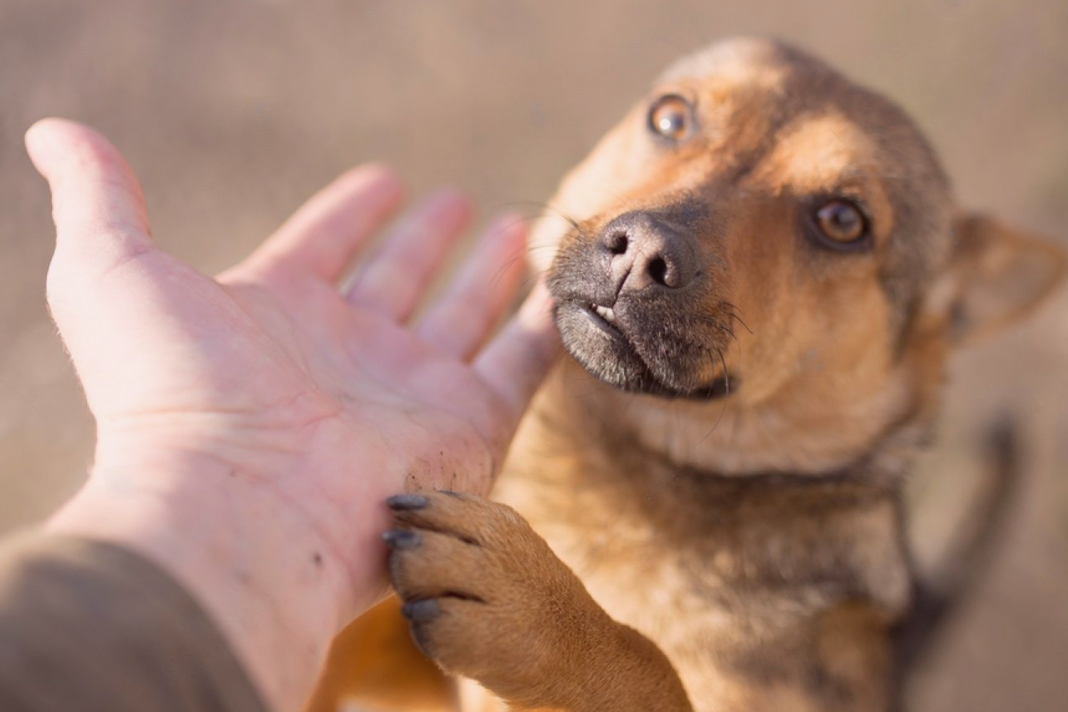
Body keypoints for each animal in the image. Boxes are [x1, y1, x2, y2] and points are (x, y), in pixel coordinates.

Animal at [305, 37, 1063, 712]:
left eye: (843, 220)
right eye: (670, 117)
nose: (643, 252)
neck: (618, 474)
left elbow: (649, 669)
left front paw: (539, 611)